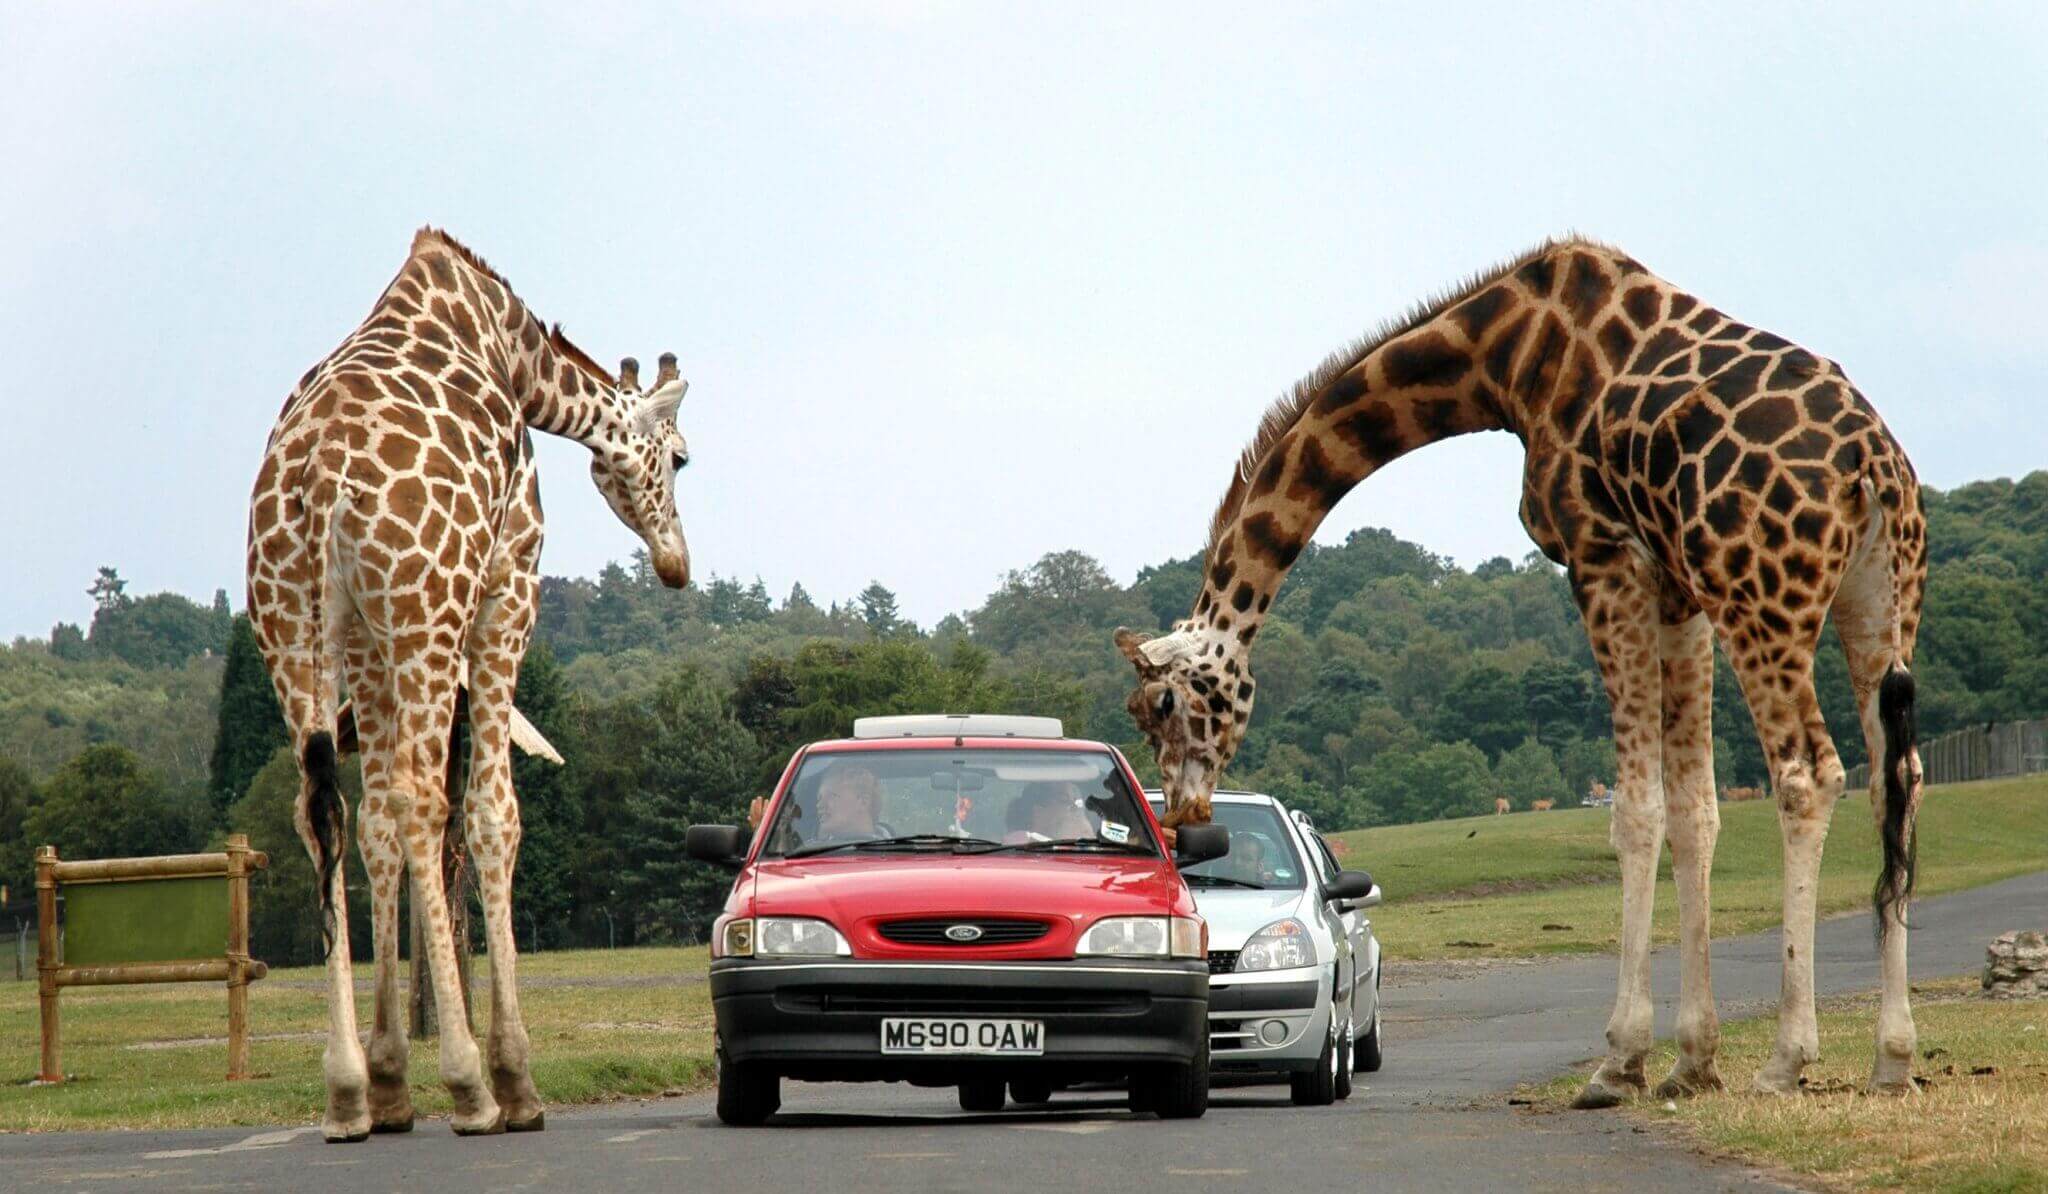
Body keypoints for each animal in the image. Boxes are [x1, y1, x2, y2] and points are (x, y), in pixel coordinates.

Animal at [244, 231, 696, 1138]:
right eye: (682, 458)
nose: (677, 564)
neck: (515, 354)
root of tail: (317, 484)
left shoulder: (367, 639)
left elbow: (374, 826)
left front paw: (388, 1078)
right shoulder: (508, 580)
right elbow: (493, 813)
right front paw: (515, 1076)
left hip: (293, 625)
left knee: (324, 809)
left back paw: (346, 1092)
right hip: (428, 610)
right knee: (426, 800)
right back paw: (472, 1087)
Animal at [1122, 238, 1933, 1105]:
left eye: (1161, 704)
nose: (1187, 817)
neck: (1503, 359)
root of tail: (1872, 467)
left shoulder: (1602, 554)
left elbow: (1635, 810)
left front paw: (1621, 1060)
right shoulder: (1675, 587)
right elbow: (1695, 811)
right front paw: (1692, 1061)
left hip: (1760, 598)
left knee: (1809, 774)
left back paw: (1787, 1059)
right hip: (1879, 602)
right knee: (1895, 777)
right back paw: (1893, 1056)